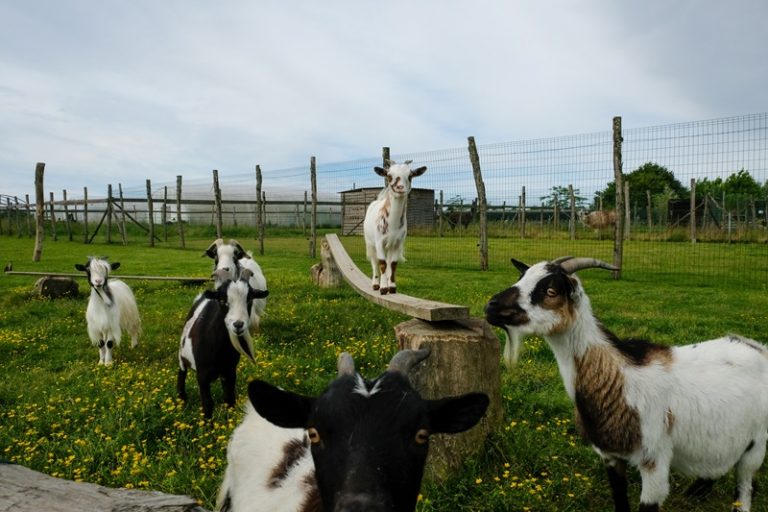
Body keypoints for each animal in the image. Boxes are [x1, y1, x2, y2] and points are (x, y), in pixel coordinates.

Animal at [178, 270, 270, 418]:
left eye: (249, 299)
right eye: (222, 300)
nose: (238, 325)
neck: (218, 349)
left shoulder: (230, 371)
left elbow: (229, 399)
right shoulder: (202, 375)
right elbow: (208, 404)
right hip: (182, 354)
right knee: (181, 372)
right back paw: (181, 399)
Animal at [362, 160, 426, 296]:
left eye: (410, 175)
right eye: (389, 175)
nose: (400, 188)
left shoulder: (397, 243)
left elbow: (393, 264)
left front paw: (391, 287)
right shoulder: (379, 241)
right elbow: (382, 264)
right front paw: (383, 288)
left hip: (389, 246)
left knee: (388, 261)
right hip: (370, 243)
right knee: (374, 262)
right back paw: (375, 284)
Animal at [486, 256, 768, 512]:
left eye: (550, 291)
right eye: (521, 277)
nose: (491, 306)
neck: (621, 379)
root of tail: (757, 347)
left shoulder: (655, 461)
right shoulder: (610, 456)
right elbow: (620, 499)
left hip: (755, 445)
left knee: (745, 488)